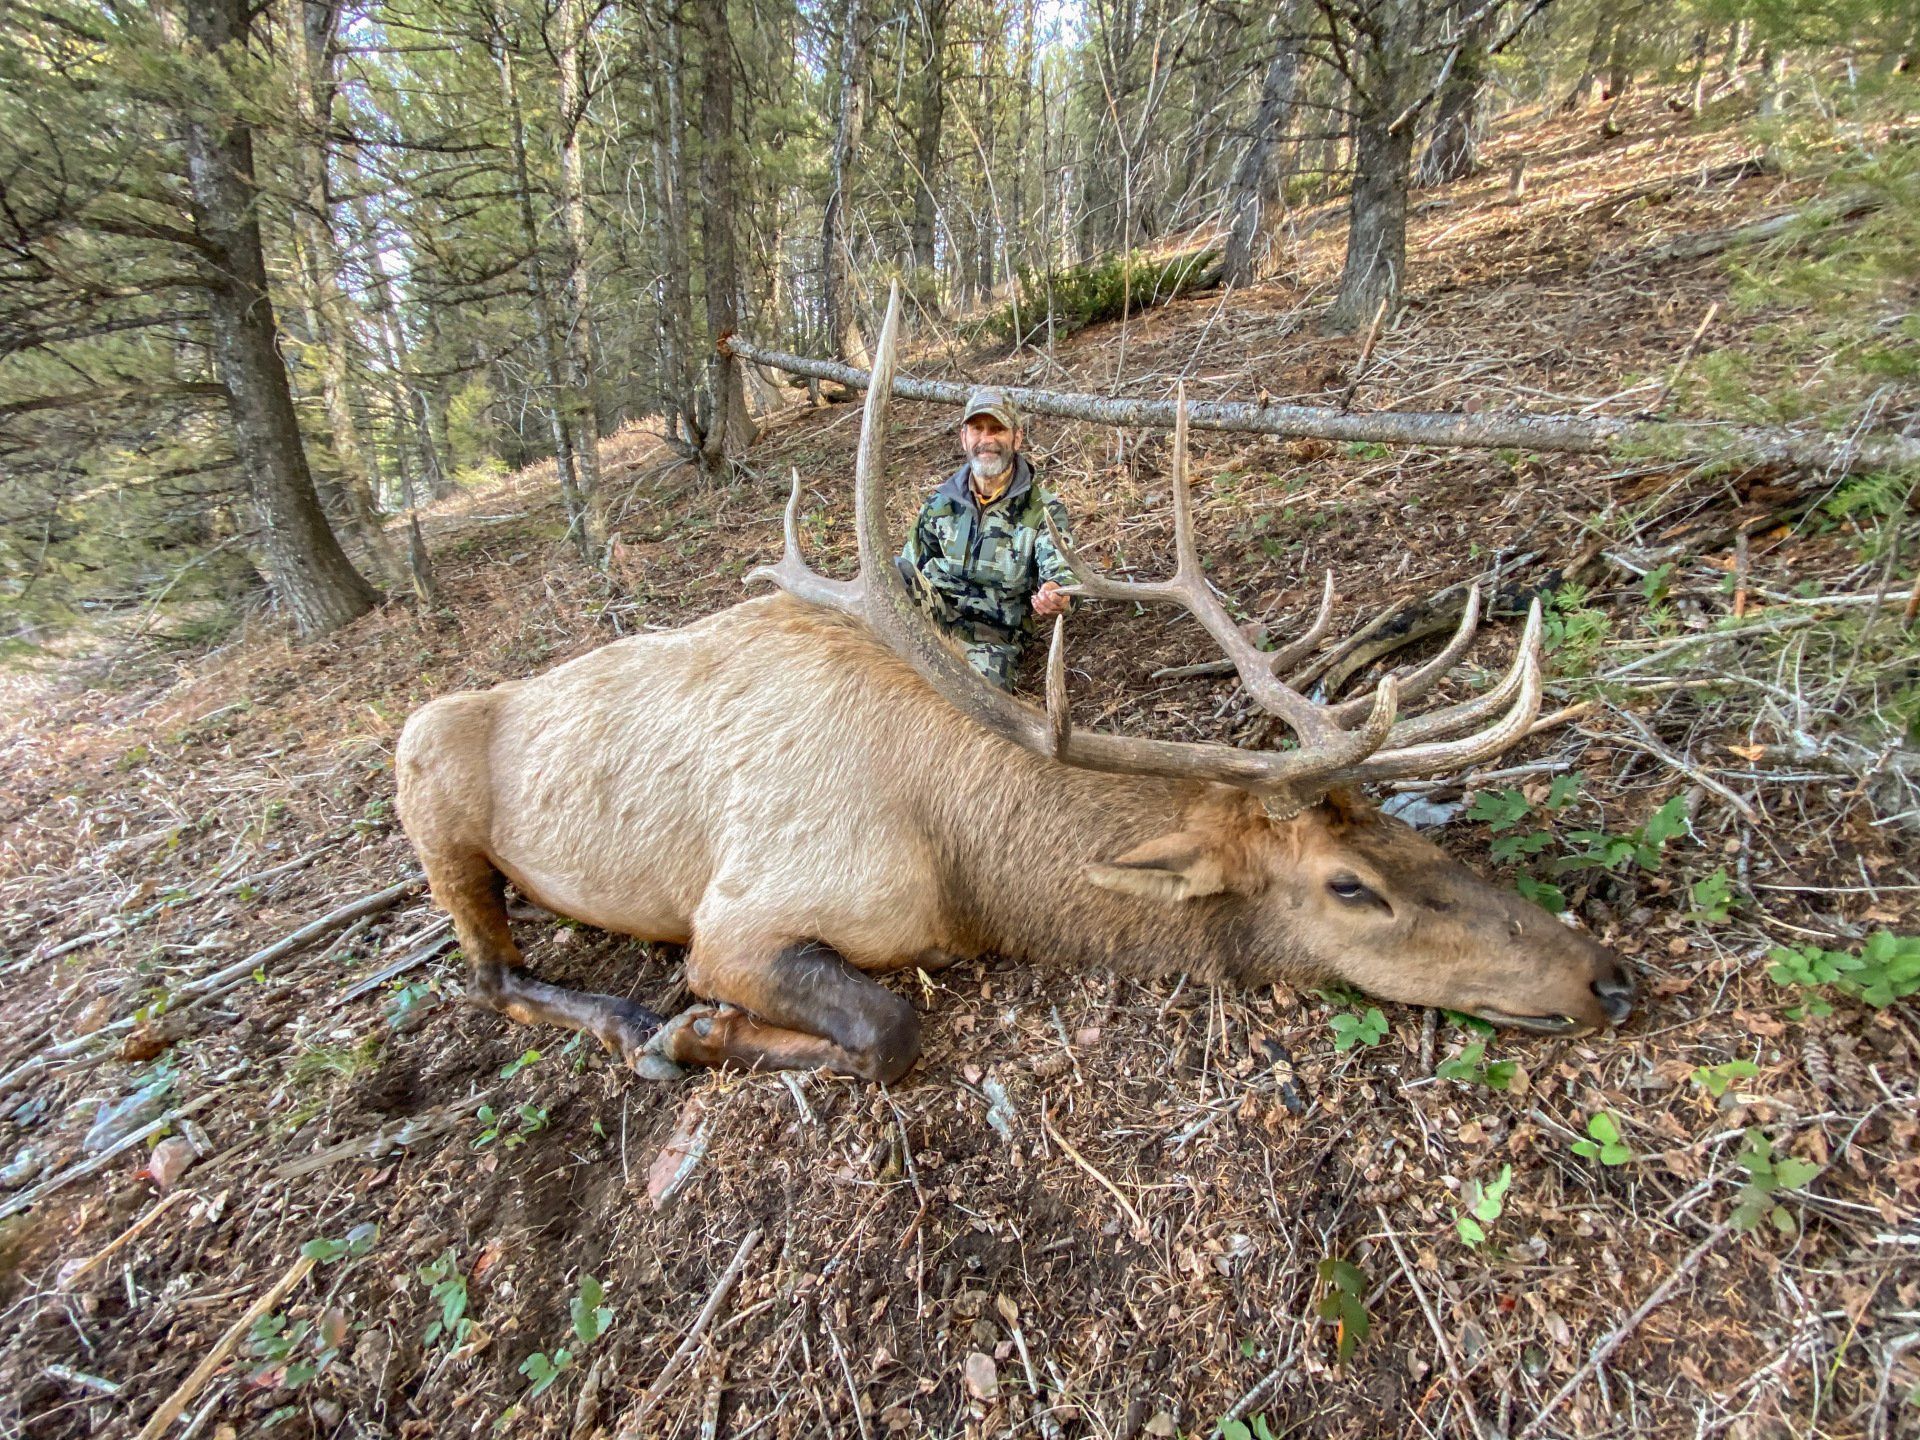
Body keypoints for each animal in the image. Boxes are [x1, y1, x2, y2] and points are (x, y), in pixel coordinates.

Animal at [395, 285, 1634, 1085]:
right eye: (1348, 887)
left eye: (1395, 830)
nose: (1606, 975)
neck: (968, 878)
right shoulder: (736, 918)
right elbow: (888, 1031)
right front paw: (687, 1033)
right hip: (431, 800)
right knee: (487, 975)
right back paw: (618, 1016)